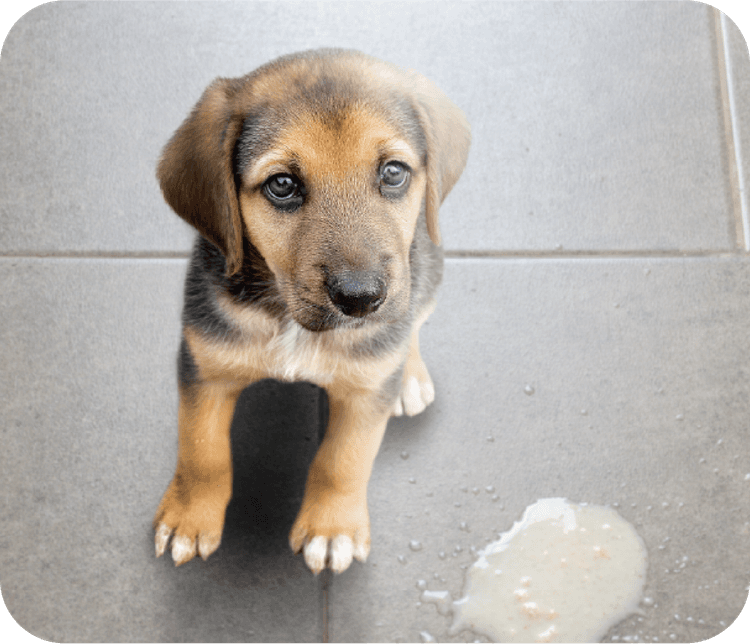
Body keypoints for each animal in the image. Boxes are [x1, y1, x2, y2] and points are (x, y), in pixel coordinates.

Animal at [153, 49, 470, 572]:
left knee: (412, 324)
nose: (362, 298)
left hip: (427, 273)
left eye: (393, 172)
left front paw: (331, 528)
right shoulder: (205, 365)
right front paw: (189, 518)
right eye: (282, 184)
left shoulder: (365, 394)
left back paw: (409, 376)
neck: (289, 319)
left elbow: (343, 460)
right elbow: (202, 451)